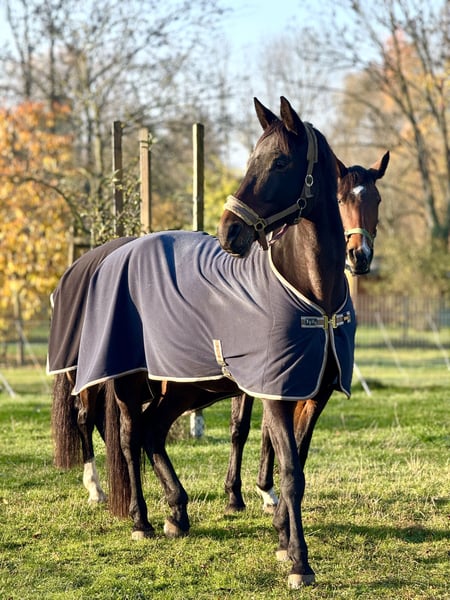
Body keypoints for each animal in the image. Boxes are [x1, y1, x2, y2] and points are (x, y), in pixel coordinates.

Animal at [59, 96, 358, 588]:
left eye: (280, 162)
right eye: (252, 159)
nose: (229, 232)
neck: (314, 294)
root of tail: (113, 253)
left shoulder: (313, 395)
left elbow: (296, 462)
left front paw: (281, 537)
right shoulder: (274, 392)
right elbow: (290, 471)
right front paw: (299, 562)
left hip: (185, 387)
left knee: (153, 431)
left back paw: (177, 513)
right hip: (128, 381)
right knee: (128, 437)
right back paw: (141, 520)